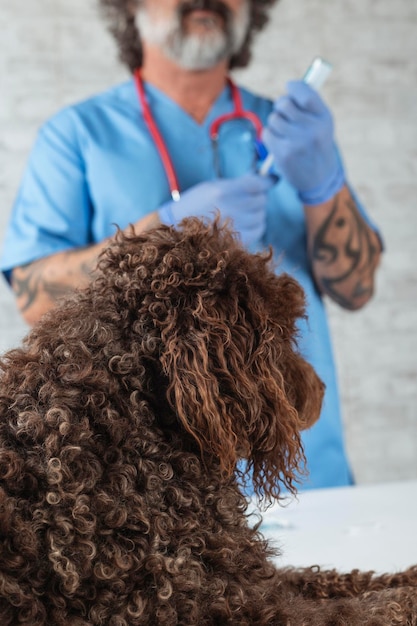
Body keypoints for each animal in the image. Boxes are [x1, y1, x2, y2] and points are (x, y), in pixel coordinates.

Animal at [0, 217, 414, 620]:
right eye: (282, 335)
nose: (323, 389)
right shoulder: (235, 604)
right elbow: (377, 606)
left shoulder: (250, 575)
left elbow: (329, 576)